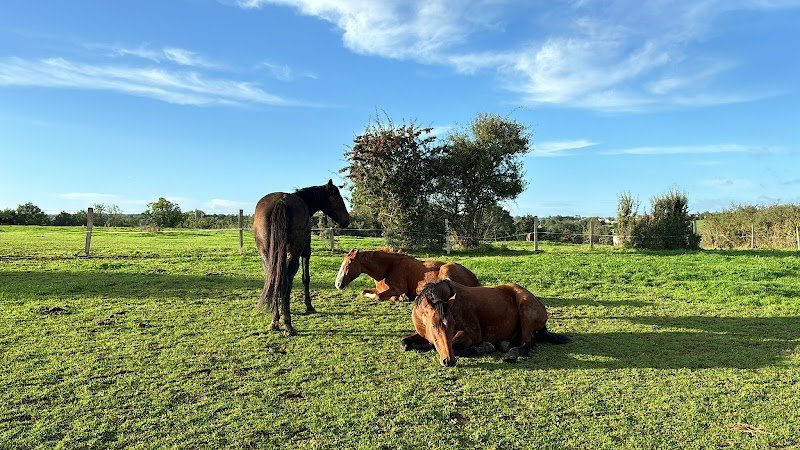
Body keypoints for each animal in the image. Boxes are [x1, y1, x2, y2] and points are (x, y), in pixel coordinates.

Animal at [254, 179, 349, 336]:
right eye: (338, 197)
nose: (347, 220)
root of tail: (282, 201)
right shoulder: (306, 252)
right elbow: (306, 278)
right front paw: (309, 306)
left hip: (267, 255)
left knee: (275, 280)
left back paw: (275, 321)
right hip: (294, 253)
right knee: (286, 282)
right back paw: (288, 325)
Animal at [334, 249, 480, 301]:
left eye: (348, 264)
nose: (337, 284)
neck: (388, 269)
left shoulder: (397, 289)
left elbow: (378, 296)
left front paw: (400, 297)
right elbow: (364, 292)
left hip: (446, 270)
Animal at [402, 279, 569, 366]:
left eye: (453, 325)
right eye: (433, 326)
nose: (449, 361)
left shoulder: (472, 335)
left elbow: (450, 346)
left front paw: (482, 348)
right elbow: (405, 343)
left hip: (525, 310)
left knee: (526, 345)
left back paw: (510, 354)